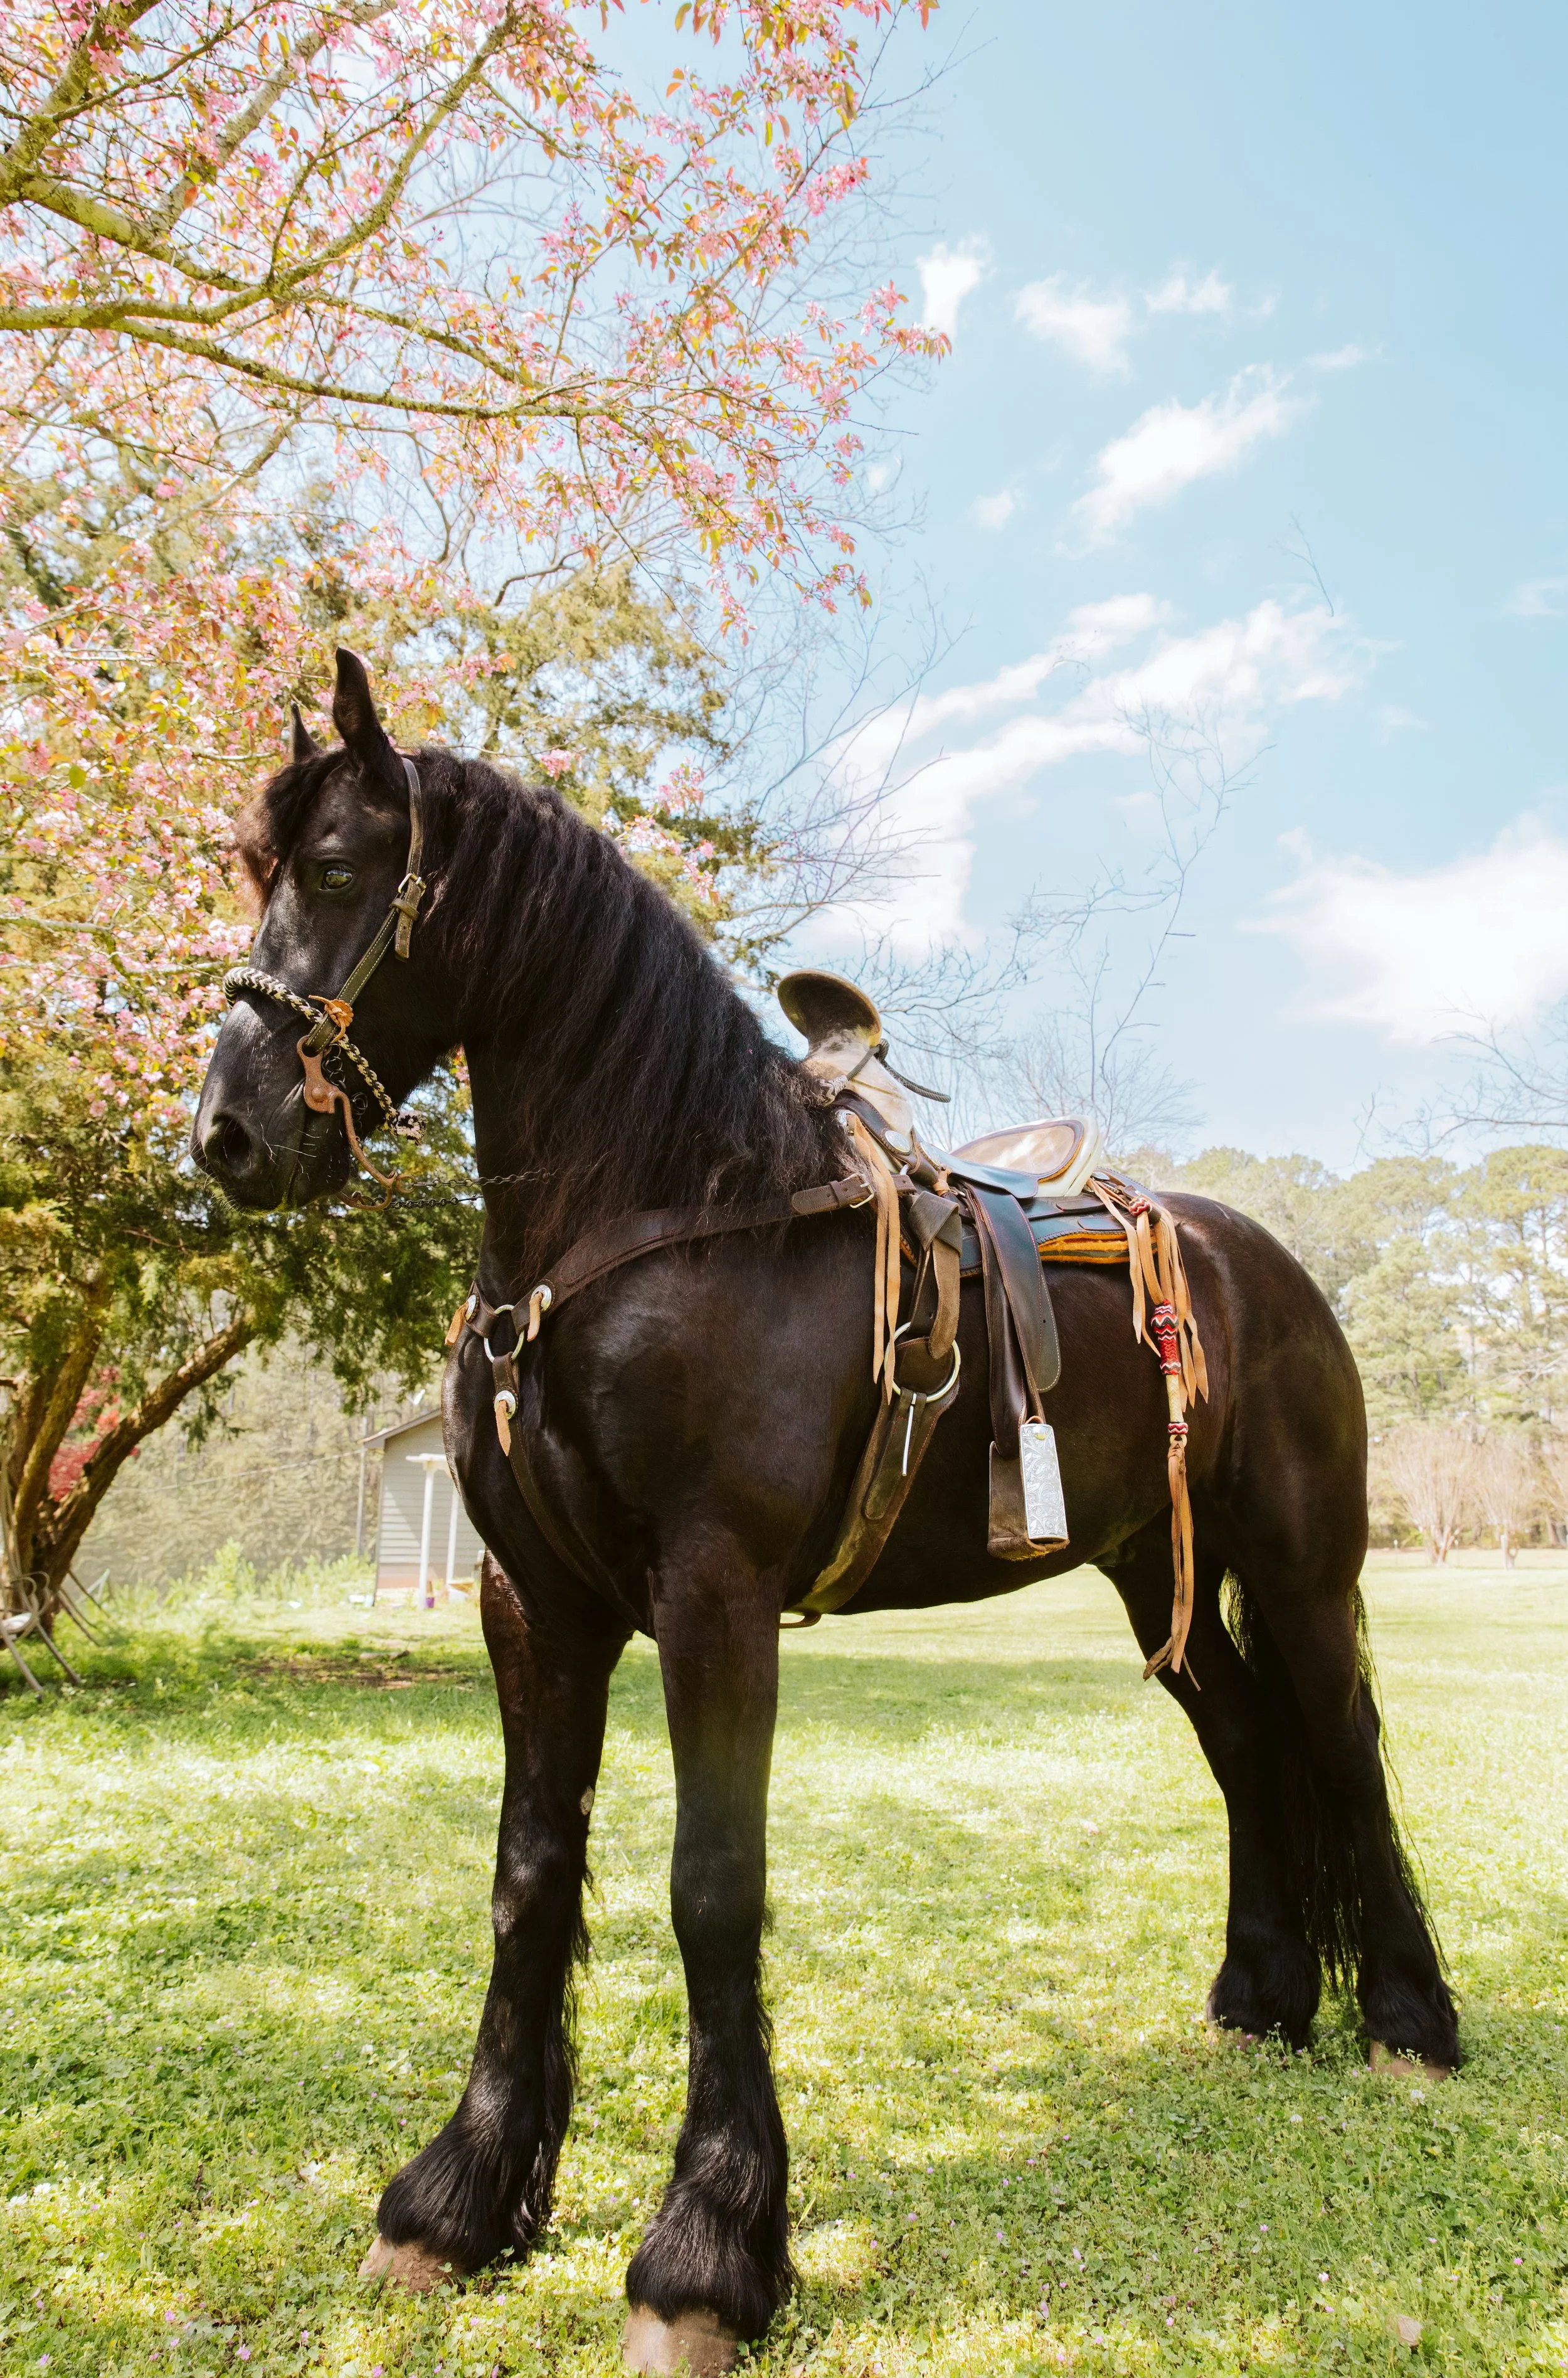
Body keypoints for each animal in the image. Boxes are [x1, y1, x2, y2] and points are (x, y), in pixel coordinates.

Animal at [192, 651, 1459, 2374]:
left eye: (332, 870)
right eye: (256, 871)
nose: (227, 1132)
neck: (655, 1209)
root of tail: (1252, 1259)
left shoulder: (714, 1594)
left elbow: (710, 1890)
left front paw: (705, 2252)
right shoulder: (534, 1604)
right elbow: (528, 1879)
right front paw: (456, 2202)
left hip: (1304, 1569)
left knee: (1341, 1742)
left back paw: (1408, 2025)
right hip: (1154, 1579)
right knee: (1251, 1746)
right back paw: (1260, 1999)